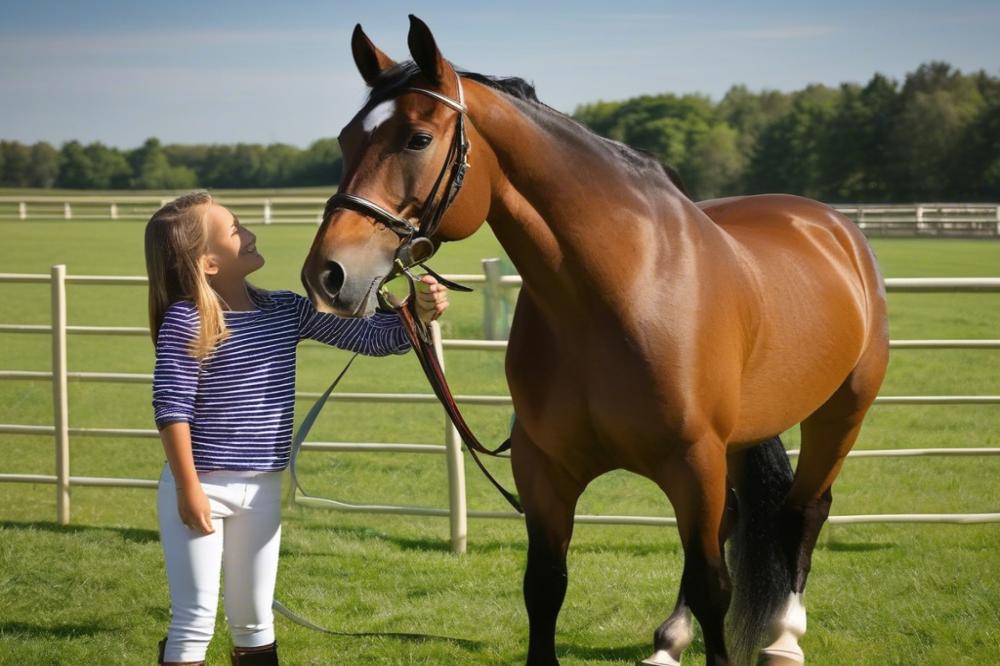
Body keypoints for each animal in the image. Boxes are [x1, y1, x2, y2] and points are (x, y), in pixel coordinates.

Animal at [298, 15, 892, 664]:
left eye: (417, 140)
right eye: (345, 139)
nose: (328, 274)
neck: (620, 291)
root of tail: (831, 227)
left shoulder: (693, 463)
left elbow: (713, 584)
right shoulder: (545, 470)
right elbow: (545, 585)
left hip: (839, 413)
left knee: (803, 512)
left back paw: (784, 638)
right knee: (737, 518)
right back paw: (669, 640)